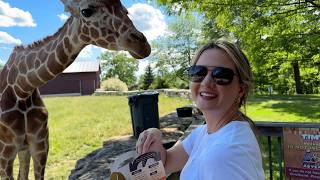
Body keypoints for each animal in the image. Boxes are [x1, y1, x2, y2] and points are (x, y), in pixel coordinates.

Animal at [0, 0, 151, 179]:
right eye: (86, 11)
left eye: (126, 11)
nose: (142, 45)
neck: (22, 88)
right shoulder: (5, 153)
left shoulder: (40, 145)